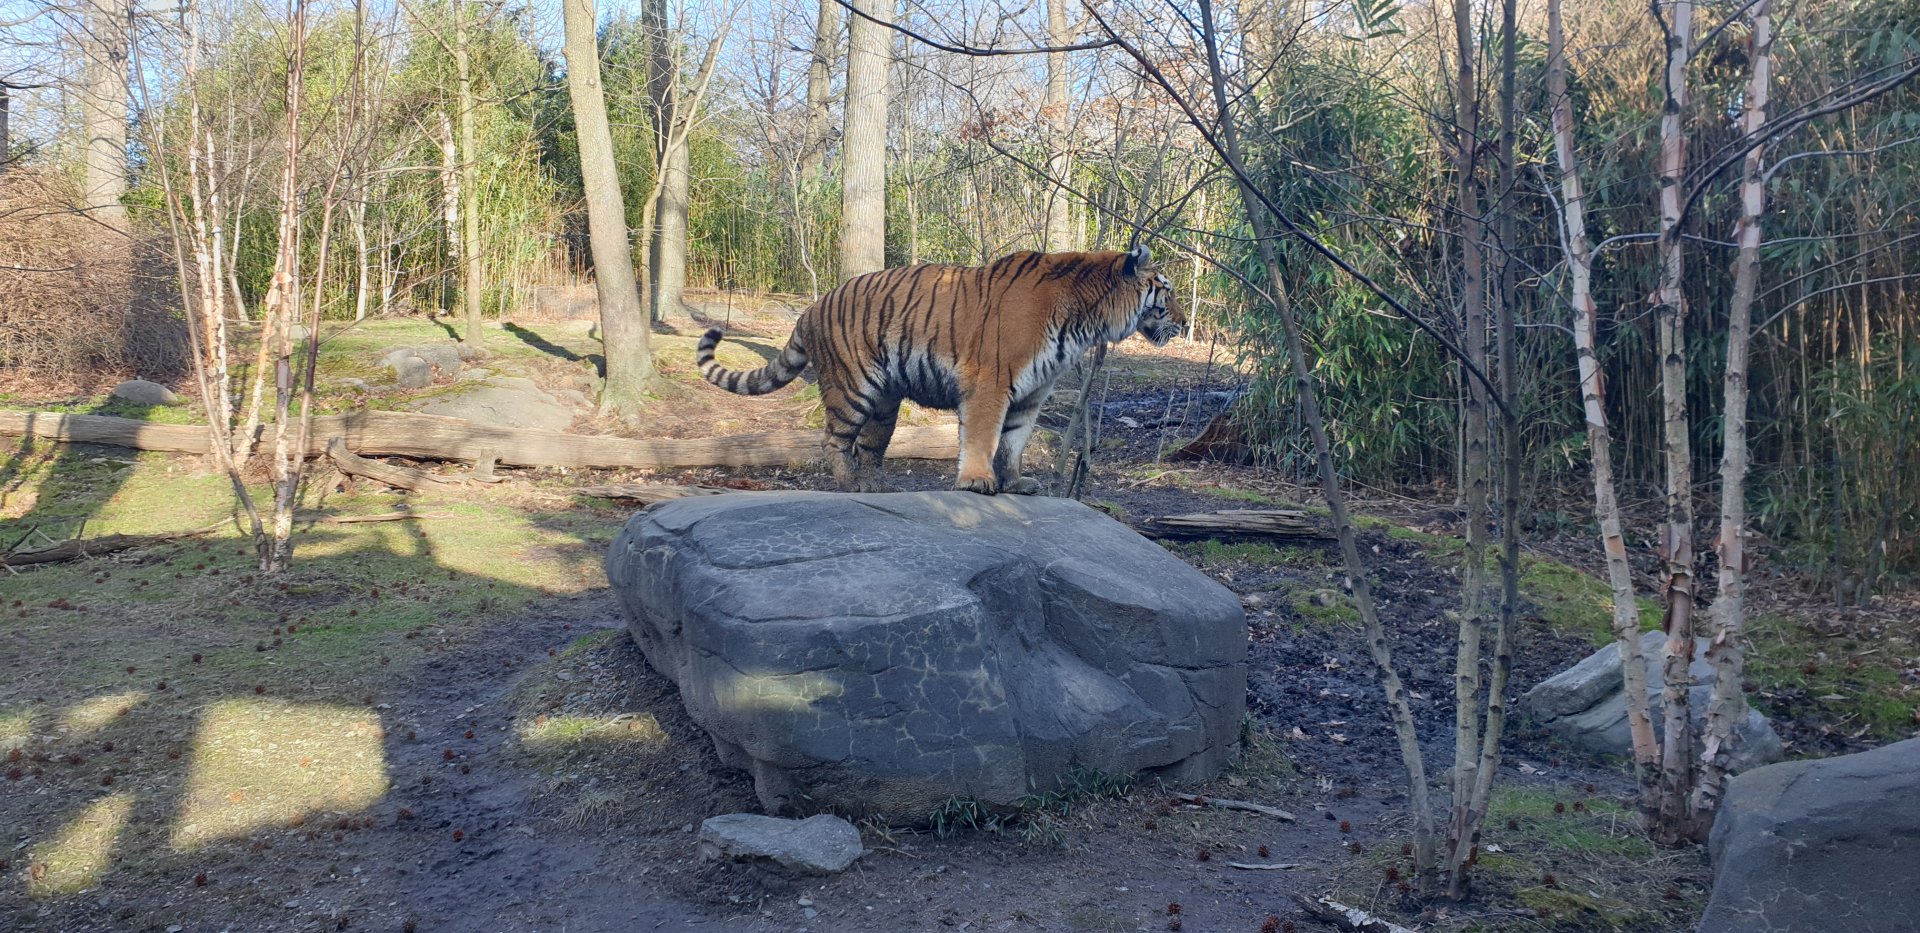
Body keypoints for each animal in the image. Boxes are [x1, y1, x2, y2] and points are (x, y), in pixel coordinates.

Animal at [695, 245, 1182, 495]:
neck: (1086, 320)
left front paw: (1016, 482)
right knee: (833, 441)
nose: (1184, 321)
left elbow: (1014, 443)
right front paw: (978, 481)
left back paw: (878, 490)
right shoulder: (991, 383)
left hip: (885, 402)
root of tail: (810, 308)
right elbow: (984, 438)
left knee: (868, 448)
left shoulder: (1031, 395)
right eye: (1168, 292)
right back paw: (849, 485)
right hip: (852, 387)